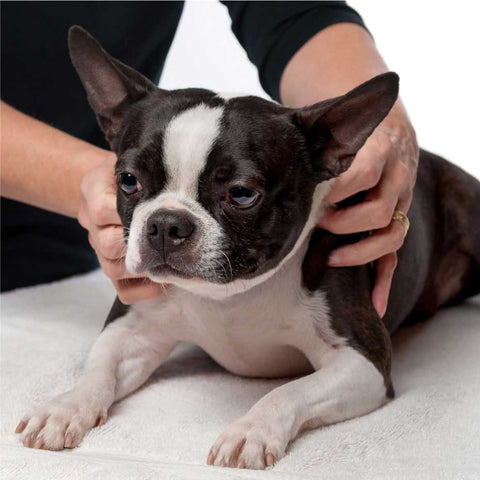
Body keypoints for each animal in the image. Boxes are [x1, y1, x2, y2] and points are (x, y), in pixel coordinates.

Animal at [15, 26, 480, 468]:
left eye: (241, 194)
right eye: (128, 181)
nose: (165, 223)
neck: (228, 297)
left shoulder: (363, 362)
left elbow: (289, 391)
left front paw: (251, 430)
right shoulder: (130, 329)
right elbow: (97, 371)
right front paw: (64, 407)